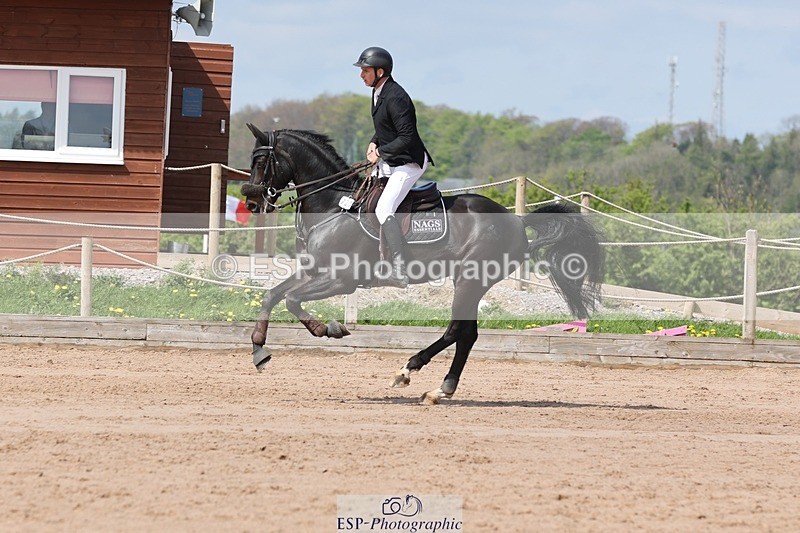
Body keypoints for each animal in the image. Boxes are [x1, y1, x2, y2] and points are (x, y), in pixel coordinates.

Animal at [241, 125, 603, 405]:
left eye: (260, 160)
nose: (252, 202)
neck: (335, 204)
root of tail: (515, 220)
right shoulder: (314, 269)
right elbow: (274, 294)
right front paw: (259, 350)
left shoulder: (342, 279)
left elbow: (291, 298)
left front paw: (327, 329)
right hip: (469, 281)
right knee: (467, 333)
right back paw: (438, 388)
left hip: (470, 280)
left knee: (458, 331)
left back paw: (411, 373)